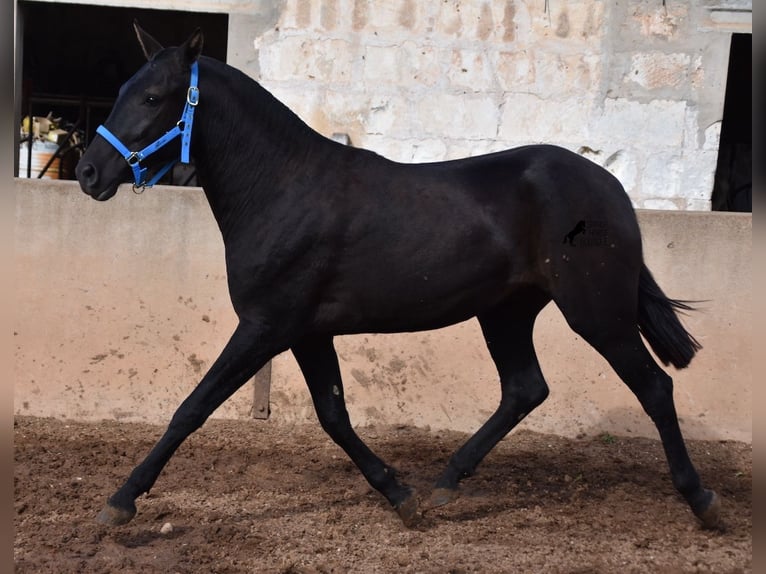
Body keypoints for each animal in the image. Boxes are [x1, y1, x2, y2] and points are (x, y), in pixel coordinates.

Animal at [75, 25, 724, 532]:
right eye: (123, 90)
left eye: (153, 96)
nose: (87, 172)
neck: (284, 188)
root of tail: (610, 187)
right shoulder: (307, 332)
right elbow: (334, 415)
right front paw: (401, 497)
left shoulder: (266, 325)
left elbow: (193, 407)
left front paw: (121, 502)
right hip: (506, 311)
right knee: (525, 389)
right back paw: (445, 484)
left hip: (596, 312)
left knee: (653, 389)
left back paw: (702, 502)